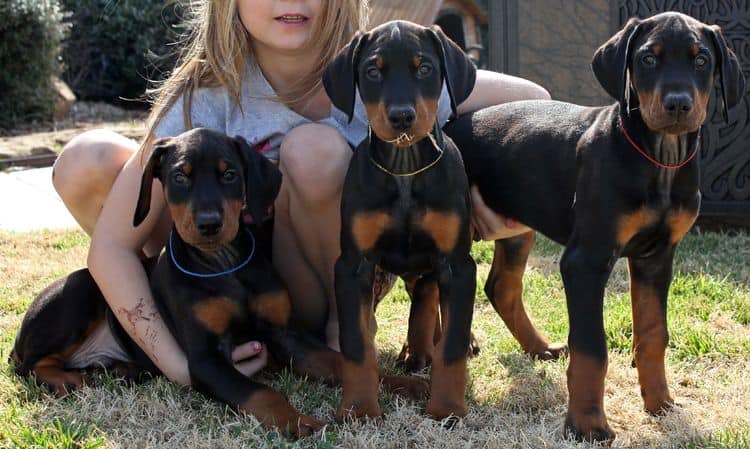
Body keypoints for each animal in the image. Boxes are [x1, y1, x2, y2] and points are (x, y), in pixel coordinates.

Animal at [322, 20, 476, 420]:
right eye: (372, 71)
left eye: (425, 68)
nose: (402, 117)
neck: (405, 168)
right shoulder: (353, 265)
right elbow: (356, 344)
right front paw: (359, 408)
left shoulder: (457, 264)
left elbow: (452, 345)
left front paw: (448, 409)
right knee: (423, 296)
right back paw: (416, 350)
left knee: (431, 298)